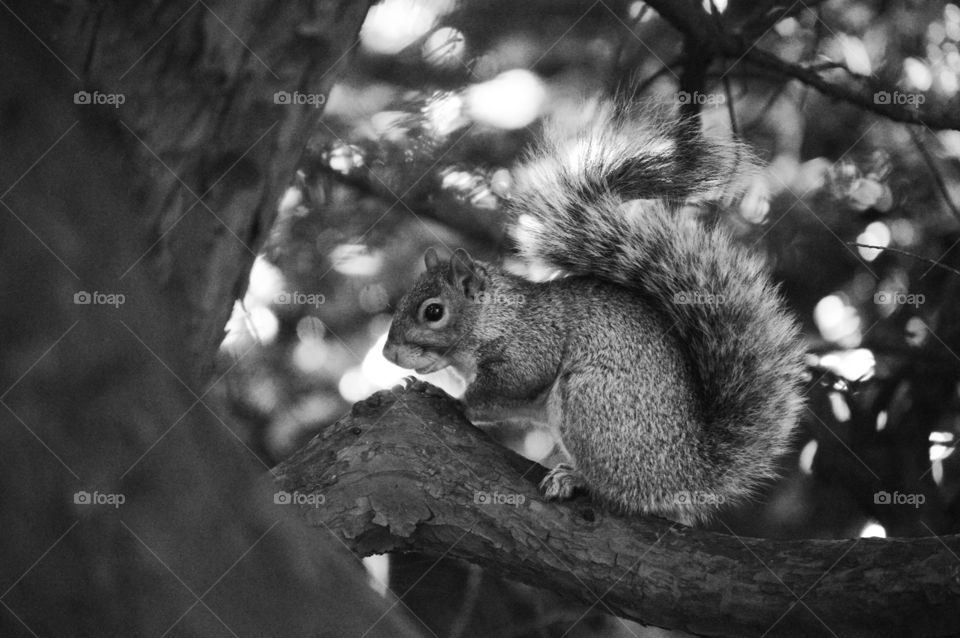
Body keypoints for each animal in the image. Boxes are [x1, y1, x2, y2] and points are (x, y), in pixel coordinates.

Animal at [382, 100, 806, 525]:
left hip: (592, 402)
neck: (493, 319)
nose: (387, 354)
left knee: (621, 489)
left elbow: (502, 389)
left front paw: (449, 399)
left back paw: (575, 478)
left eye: (433, 311)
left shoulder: (529, 346)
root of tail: (689, 471)